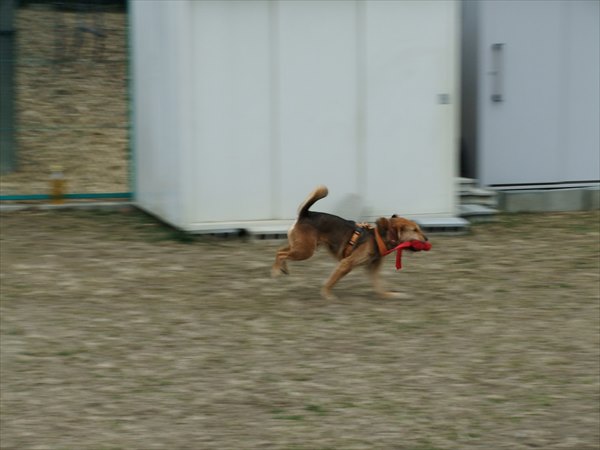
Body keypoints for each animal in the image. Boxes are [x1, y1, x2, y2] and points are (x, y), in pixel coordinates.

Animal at [272, 185, 429, 299]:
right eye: (415, 230)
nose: (427, 239)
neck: (378, 237)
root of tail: (305, 214)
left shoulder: (372, 269)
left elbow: (379, 287)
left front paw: (389, 295)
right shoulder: (346, 264)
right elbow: (331, 281)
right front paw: (327, 295)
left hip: (301, 247)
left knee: (280, 250)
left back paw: (282, 268)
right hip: (305, 251)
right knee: (280, 254)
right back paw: (276, 271)